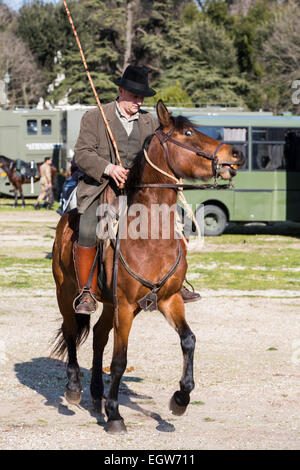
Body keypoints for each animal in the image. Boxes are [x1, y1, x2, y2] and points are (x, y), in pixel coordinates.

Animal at [51, 101, 244, 436]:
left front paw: (180, 399)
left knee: (98, 337)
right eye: (189, 133)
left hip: (111, 304)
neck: (150, 236)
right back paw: (75, 389)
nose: (235, 155)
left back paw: (97, 394)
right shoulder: (126, 307)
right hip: (67, 293)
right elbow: (119, 360)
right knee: (73, 331)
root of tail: (65, 220)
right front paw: (116, 416)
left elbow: (189, 340)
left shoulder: (169, 300)